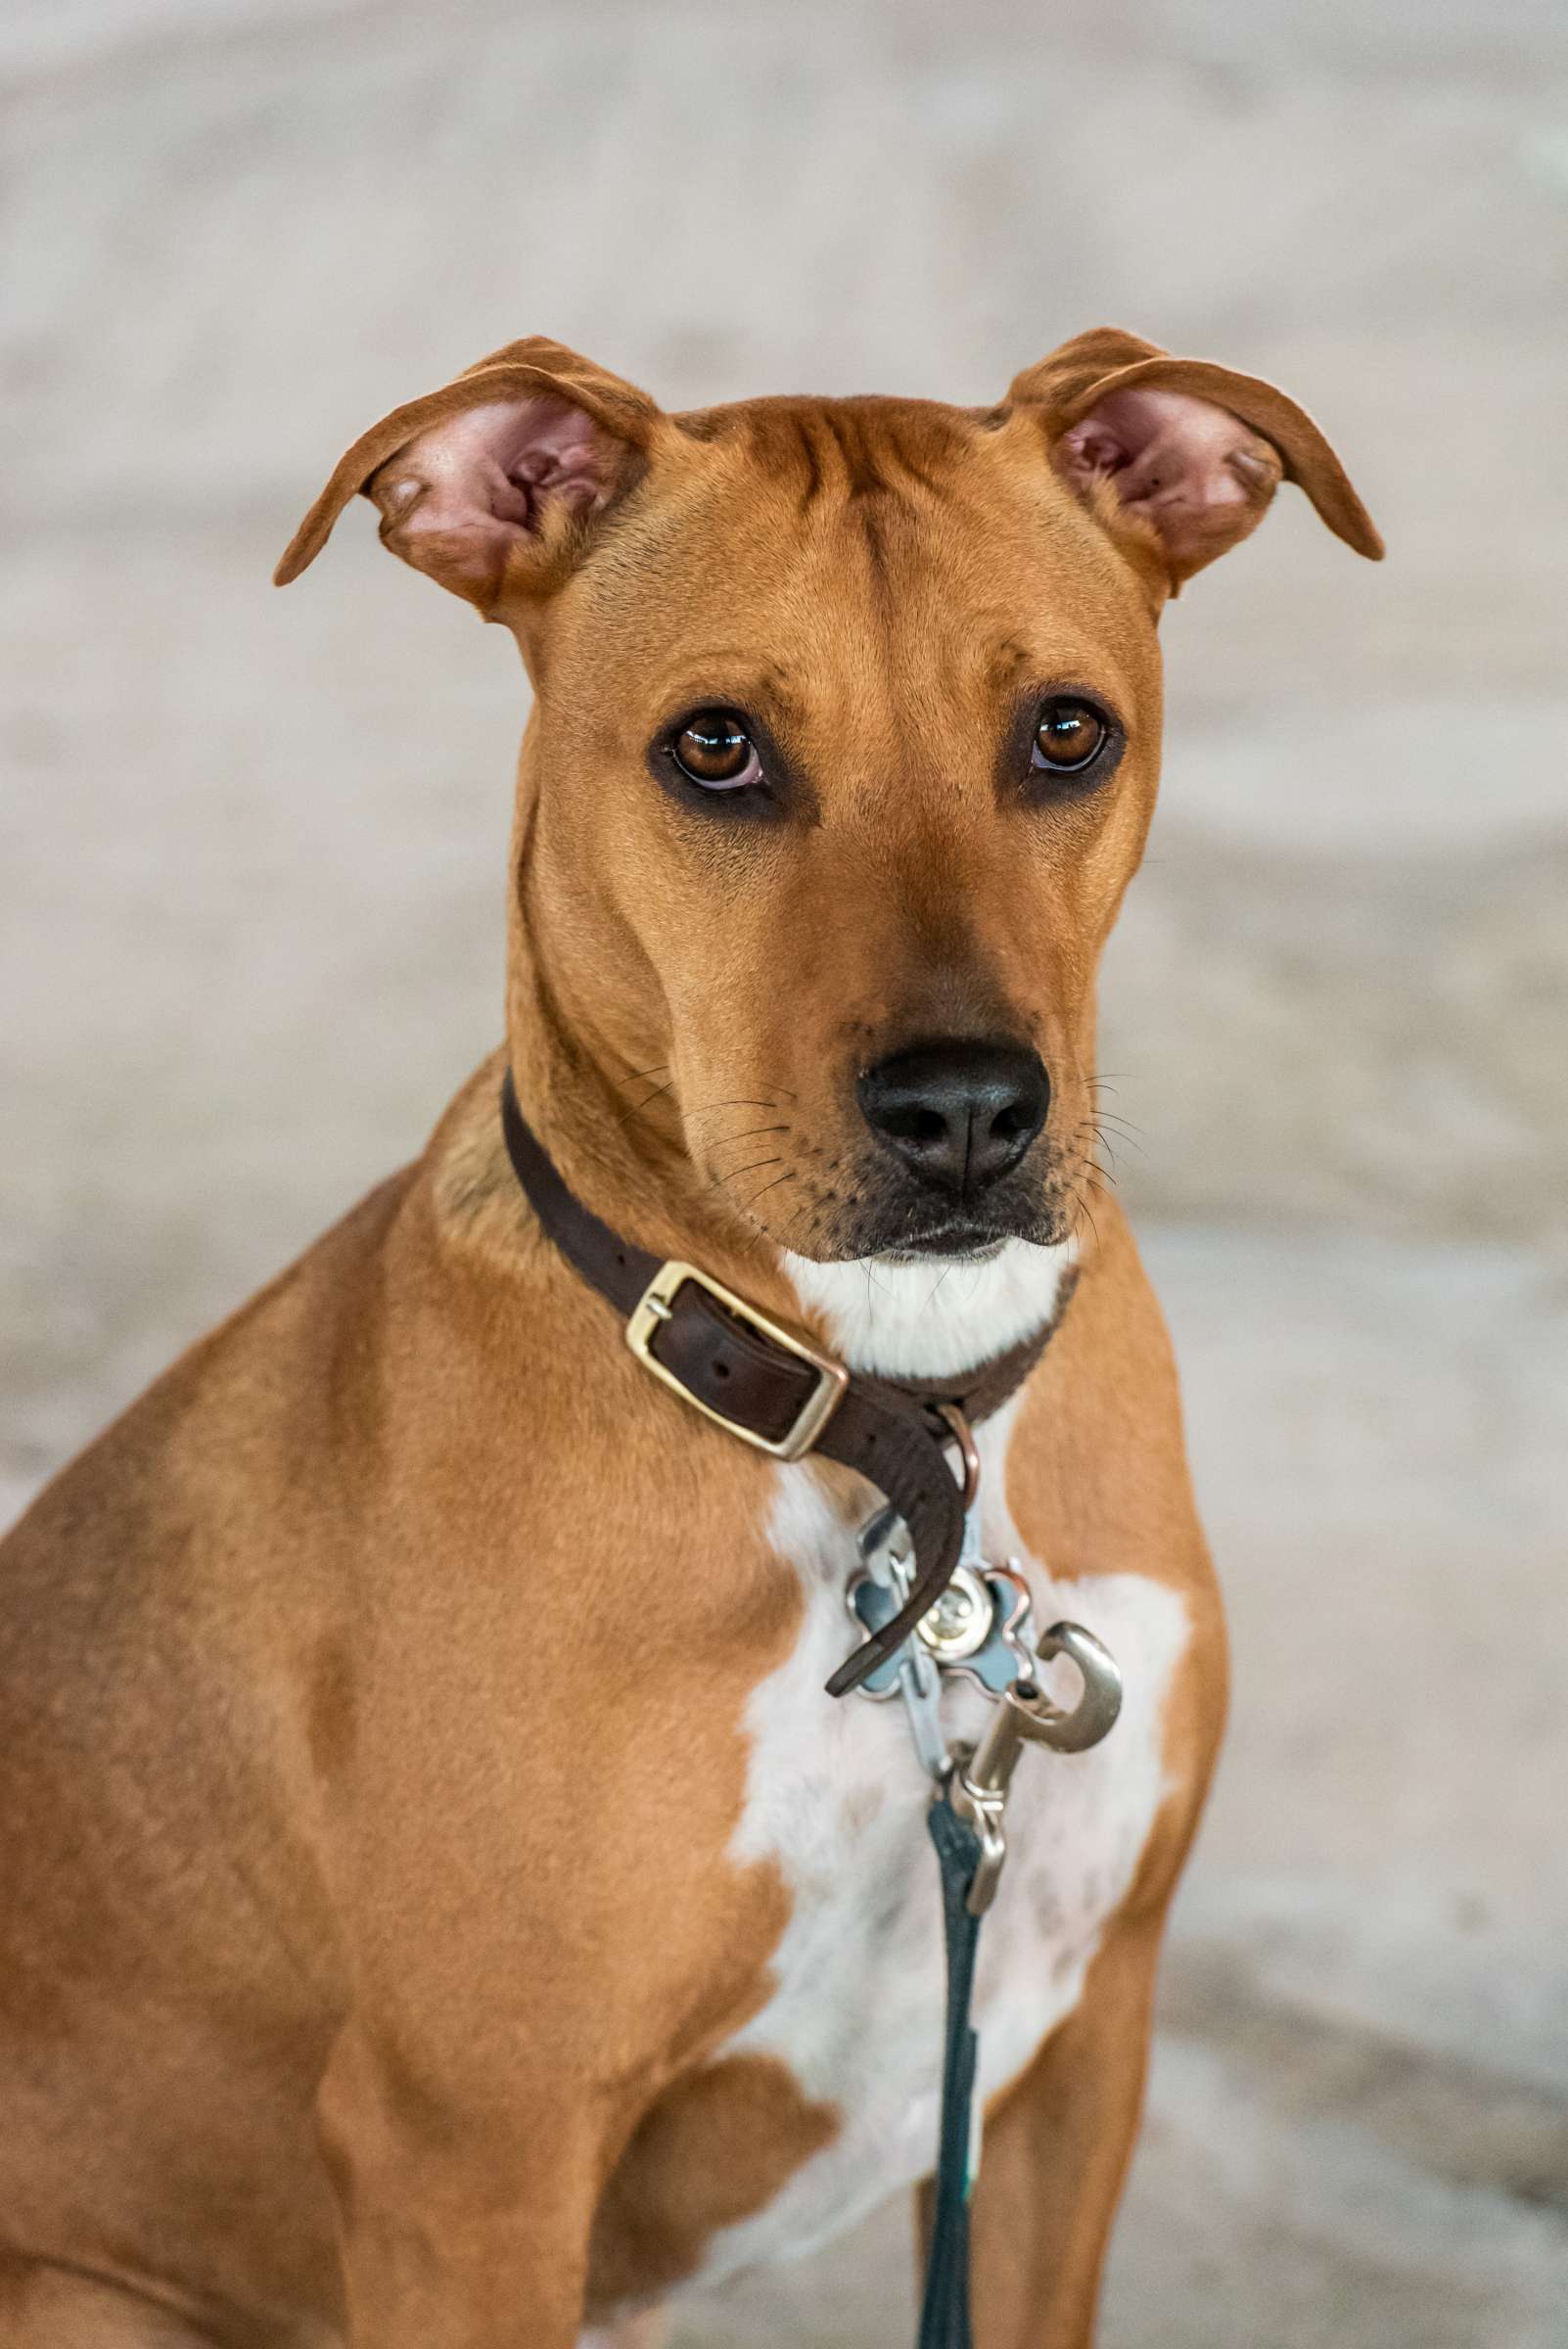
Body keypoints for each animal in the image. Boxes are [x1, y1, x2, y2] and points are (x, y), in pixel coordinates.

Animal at [0, 331, 1370, 2349]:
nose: (966, 1112)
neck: (893, 1434)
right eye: (715, 747)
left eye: (1065, 732)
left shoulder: (1063, 2054)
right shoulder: (471, 2156)